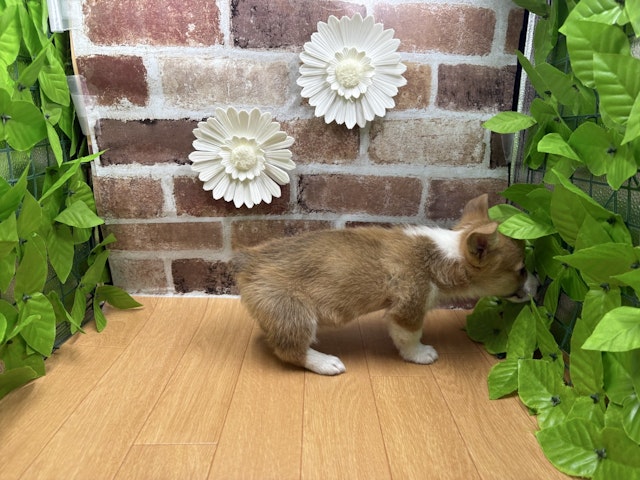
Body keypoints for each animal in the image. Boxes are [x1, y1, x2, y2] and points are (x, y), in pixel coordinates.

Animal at [233, 194, 537, 375]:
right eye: (522, 270)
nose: (539, 284)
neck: (442, 255)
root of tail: (250, 260)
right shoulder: (408, 311)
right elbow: (410, 338)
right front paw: (420, 354)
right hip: (297, 314)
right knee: (291, 350)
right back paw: (325, 362)